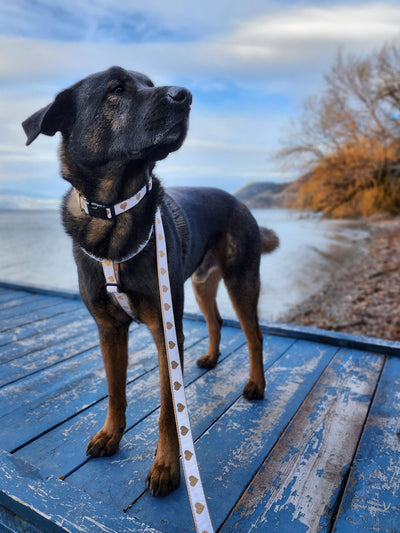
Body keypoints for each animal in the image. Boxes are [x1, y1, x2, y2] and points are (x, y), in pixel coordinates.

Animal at [21, 67, 278, 498]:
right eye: (116, 89)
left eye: (149, 84)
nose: (185, 96)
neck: (113, 213)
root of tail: (239, 200)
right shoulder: (109, 329)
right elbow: (116, 392)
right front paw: (111, 436)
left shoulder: (164, 332)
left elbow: (169, 413)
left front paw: (166, 468)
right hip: (200, 285)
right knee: (215, 321)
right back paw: (211, 358)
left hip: (241, 280)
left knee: (254, 334)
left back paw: (255, 385)